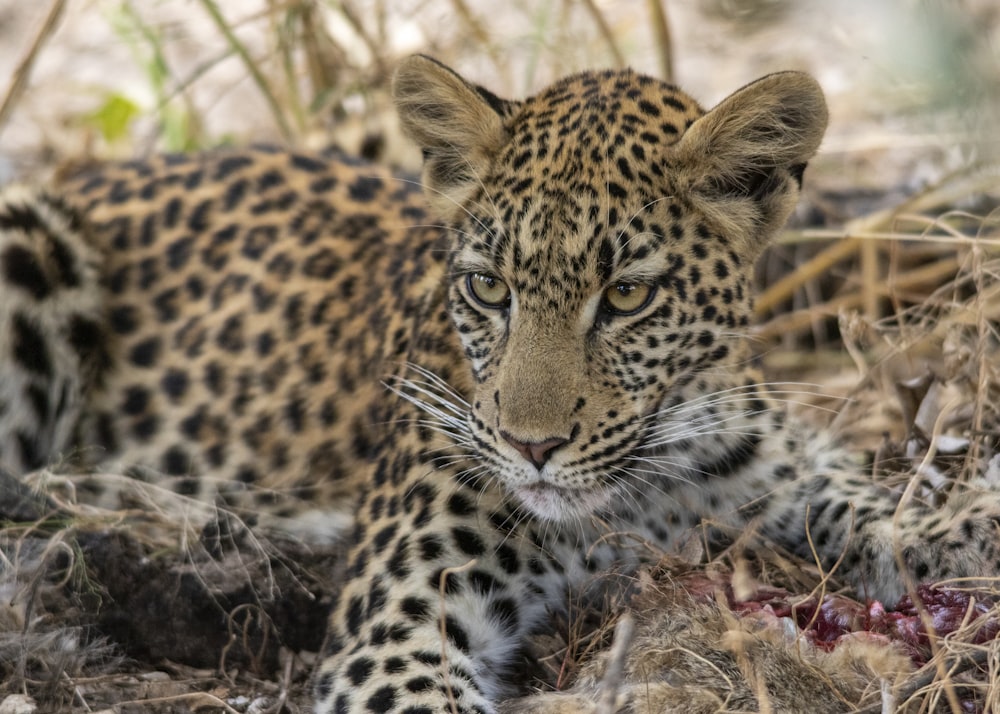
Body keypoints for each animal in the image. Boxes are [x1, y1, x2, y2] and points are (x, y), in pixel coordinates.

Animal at [1, 55, 1000, 712]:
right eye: (490, 287)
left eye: (626, 295)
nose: (532, 447)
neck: (644, 500)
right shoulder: (397, 629)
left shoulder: (770, 457)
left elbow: (871, 502)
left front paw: (955, 532)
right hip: (29, 241)